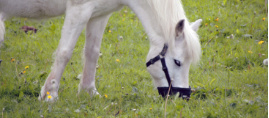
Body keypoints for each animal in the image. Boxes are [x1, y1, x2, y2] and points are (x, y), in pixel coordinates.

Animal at [0, 0, 201, 101]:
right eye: (177, 62)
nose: (183, 96)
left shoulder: (99, 14)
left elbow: (92, 52)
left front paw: (89, 91)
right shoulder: (79, 10)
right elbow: (64, 53)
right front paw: (50, 94)